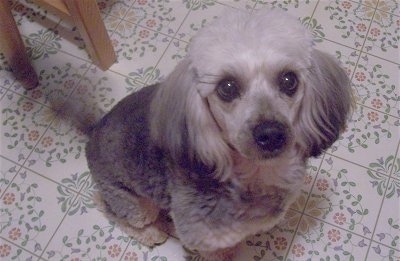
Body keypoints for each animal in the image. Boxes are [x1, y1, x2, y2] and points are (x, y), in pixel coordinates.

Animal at [52, 9, 350, 258]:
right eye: (227, 87)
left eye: (289, 80)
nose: (271, 134)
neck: (255, 176)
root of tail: (94, 128)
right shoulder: (204, 237)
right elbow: (218, 251)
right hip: (129, 199)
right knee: (109, 207)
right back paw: (152, 232)